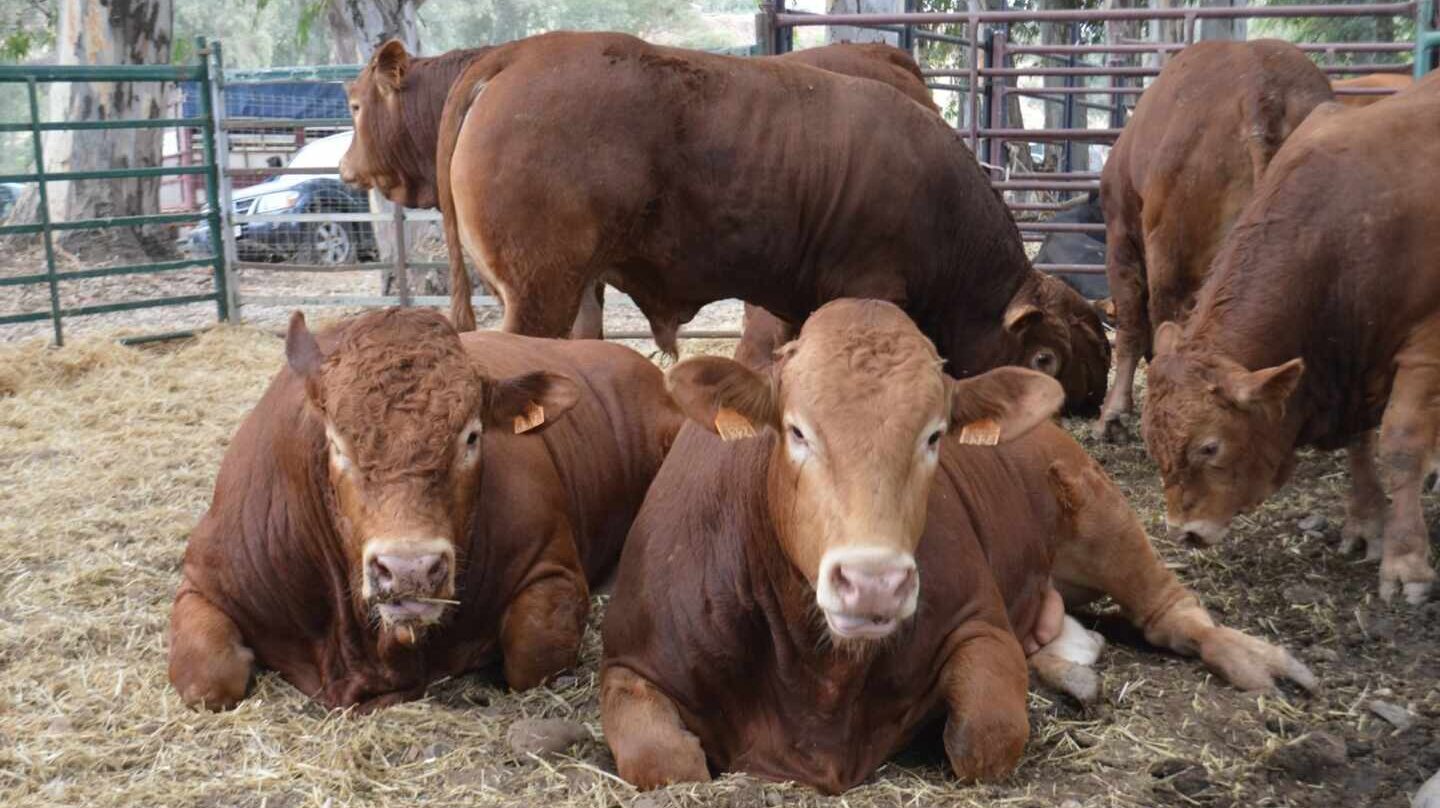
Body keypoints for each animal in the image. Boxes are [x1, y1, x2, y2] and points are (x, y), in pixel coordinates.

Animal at [165, 305, 682, 708]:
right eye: (336, 442)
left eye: (472, 436)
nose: (410, 569)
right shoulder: (206, 579)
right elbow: (208, 677)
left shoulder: (551, 569)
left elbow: (533, 653)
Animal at [599, 298, 1319, 795]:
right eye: (797, 432)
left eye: (935, 434)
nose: (875, 583)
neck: (818, 674)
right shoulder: (631, 665)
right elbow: (668, 761)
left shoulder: (980, 622)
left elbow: (985, 736)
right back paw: (1071, 664)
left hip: (1102, 512)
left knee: (1170, 612)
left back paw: (1256, 658)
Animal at [1140, 72, 1440, 604]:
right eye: (1151, 441)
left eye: (1210, 447)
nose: (1185, 532)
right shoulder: (1350, 360)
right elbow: (1360, 444)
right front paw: (1367, 524)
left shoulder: (1425, 348)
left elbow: (1401, 446)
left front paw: (1407, 562)